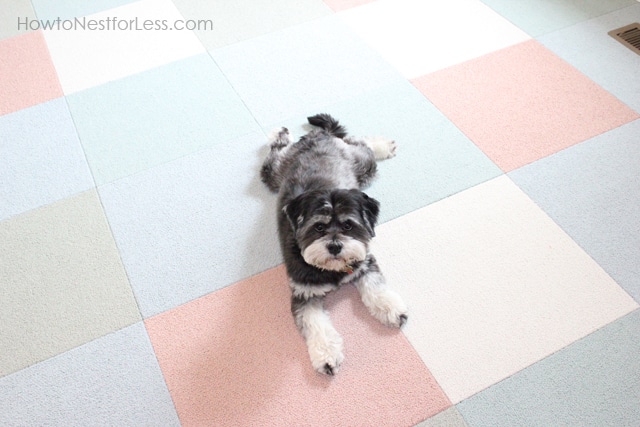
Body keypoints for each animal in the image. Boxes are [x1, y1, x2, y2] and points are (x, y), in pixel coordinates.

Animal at [262, 114, 408, 378]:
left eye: (349, 225)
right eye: (318, 227)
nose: (335, 247)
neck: (332, 269)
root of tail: (318, 136)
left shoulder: (364, 262)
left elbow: (376, 288)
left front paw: (391, 308)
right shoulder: (304, 293)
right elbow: (316, 325)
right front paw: (326, 356)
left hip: (363, 166)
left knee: (358, 142)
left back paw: (383, 146)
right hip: (275, 173)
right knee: (273, 155)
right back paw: (280, 132)